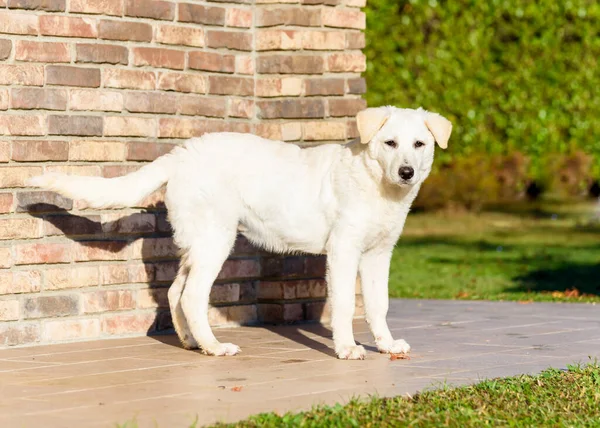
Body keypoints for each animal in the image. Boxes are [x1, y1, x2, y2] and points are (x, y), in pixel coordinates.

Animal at [28, 105, 450, 360]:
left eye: (419, 144)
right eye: (389, 143)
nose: (407, 172)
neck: (376, 184)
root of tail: (182, 154)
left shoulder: (379, 254)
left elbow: (379, 305)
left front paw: (388, 345)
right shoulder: (344, 250)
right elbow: (346, 305)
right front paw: (346, 349)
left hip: (198, 241)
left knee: (175, 292)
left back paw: (192, 342)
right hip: (216, 239)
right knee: (193, 296)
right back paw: (214, 347)